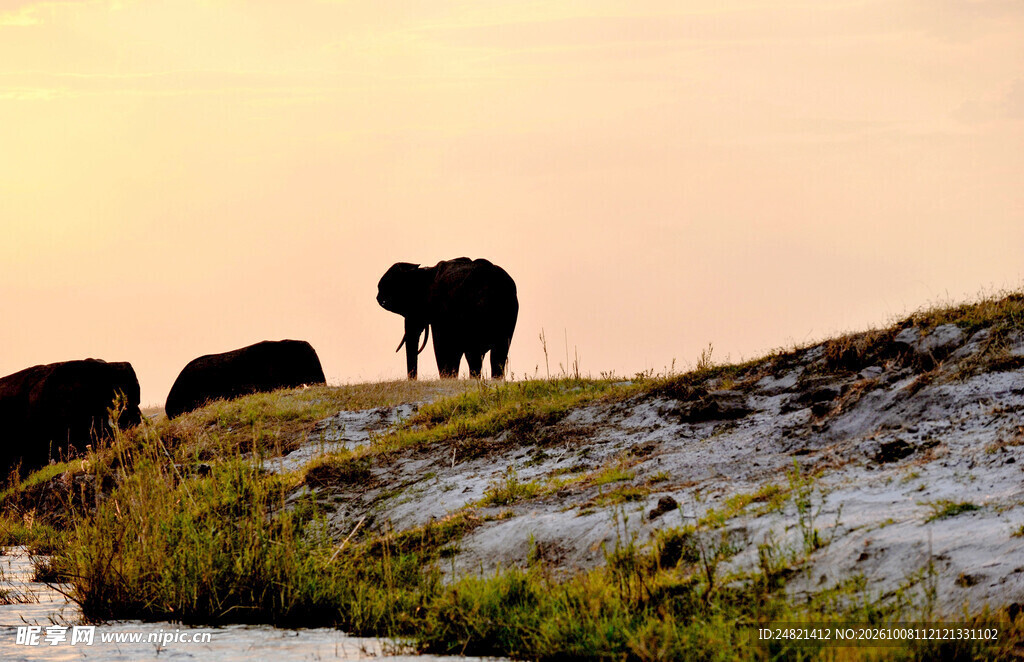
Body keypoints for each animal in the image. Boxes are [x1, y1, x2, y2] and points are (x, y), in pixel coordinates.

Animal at [377, 257, 518, 379]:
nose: (413, 380)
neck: (424, 272)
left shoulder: (440, 312)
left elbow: (442, 346)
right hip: (508, 311)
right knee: (498, 353)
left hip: (476, 313)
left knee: (474, 354)